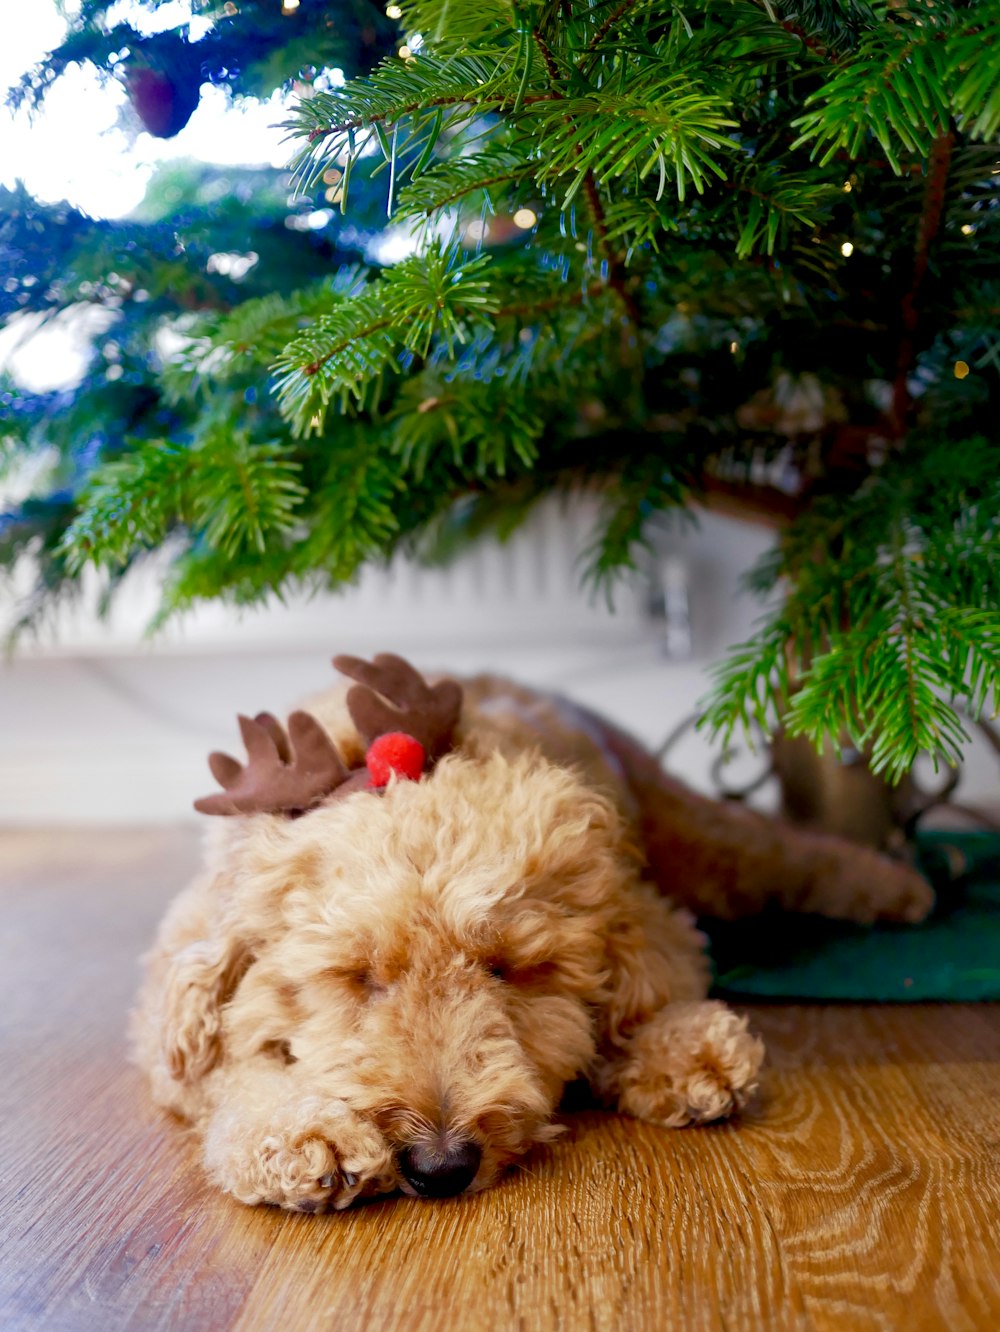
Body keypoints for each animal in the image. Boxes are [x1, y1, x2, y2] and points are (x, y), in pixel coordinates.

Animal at [129, 650, 937, 1214]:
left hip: (694, 836)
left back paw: (904, 886)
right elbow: (229, 1070)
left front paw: (681, 1050)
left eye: (504, 968)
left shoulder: (641, 905)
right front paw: (300, 1134)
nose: (441, 1167)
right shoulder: (176, 1001)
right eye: (358, 977)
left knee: (785, 852)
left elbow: (642, 991)